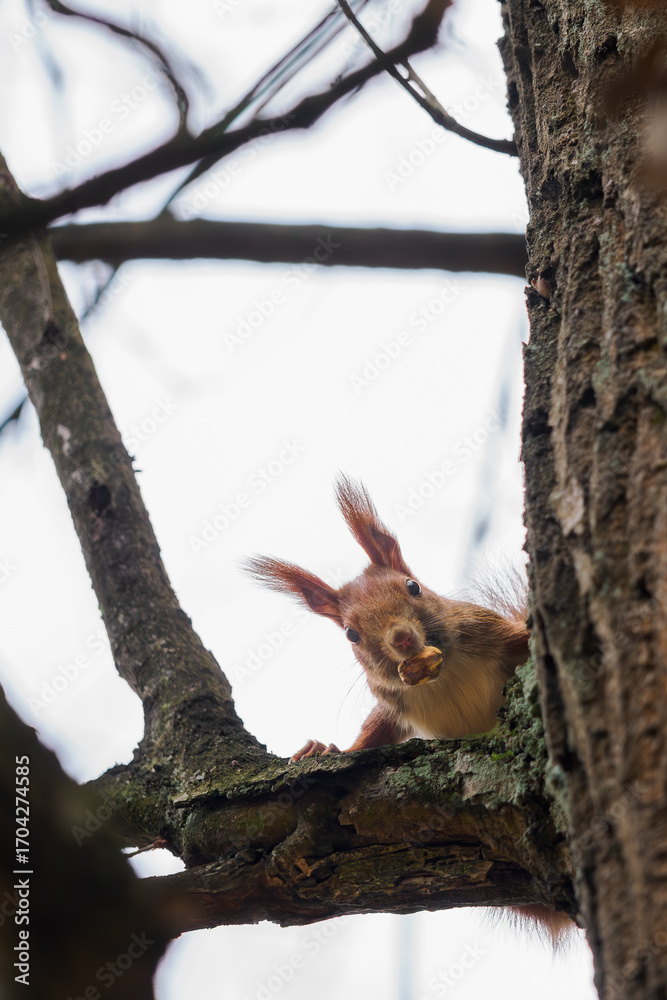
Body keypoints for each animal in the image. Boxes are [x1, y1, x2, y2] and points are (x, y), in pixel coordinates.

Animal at [247, 476, 575, 945]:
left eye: (413, 587)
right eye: (350, 634)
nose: (401, 638)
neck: (441, 674)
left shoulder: (491, 632)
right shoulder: (392, 704)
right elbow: (370, 738)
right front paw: (323, 750)